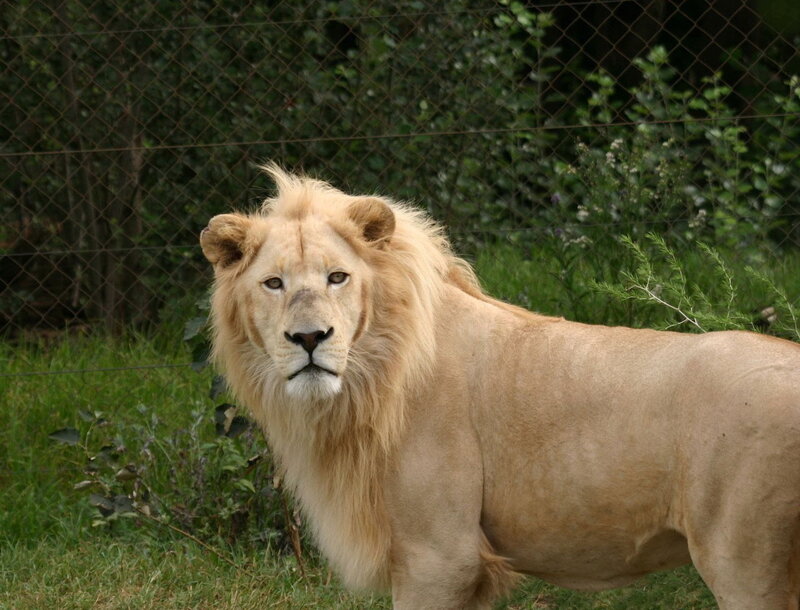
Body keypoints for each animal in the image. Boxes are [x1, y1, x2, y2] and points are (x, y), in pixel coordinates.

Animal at [200, 165, 800, 609]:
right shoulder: (462, 566)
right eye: (273, 283)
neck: (368, 379)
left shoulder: (440, 555)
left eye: (337, 277)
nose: (309, 338)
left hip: (745, 565)